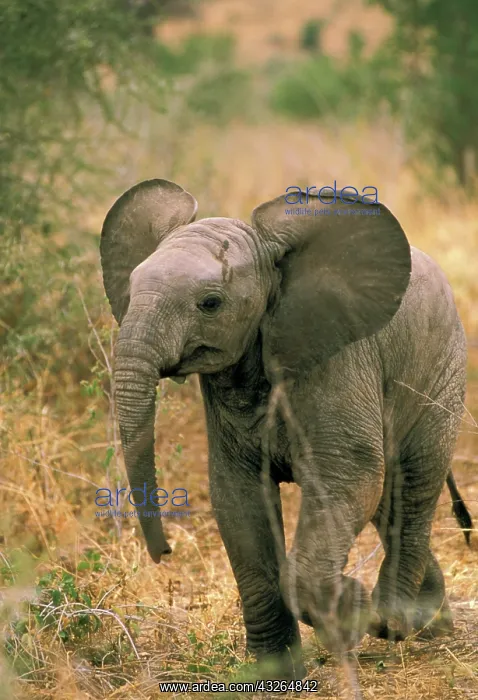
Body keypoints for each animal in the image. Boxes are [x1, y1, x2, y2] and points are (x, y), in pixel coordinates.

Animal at [99, 179, 473, 679]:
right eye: (131, 289)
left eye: (210, 303)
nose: (165, 554)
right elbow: (238, 500)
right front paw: (275, 675)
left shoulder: (339, 358)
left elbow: (349, 476)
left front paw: (351, 611)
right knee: (385, 502)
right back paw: (430, 625)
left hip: (442, 368)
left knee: (410, 487)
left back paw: (394, 624)